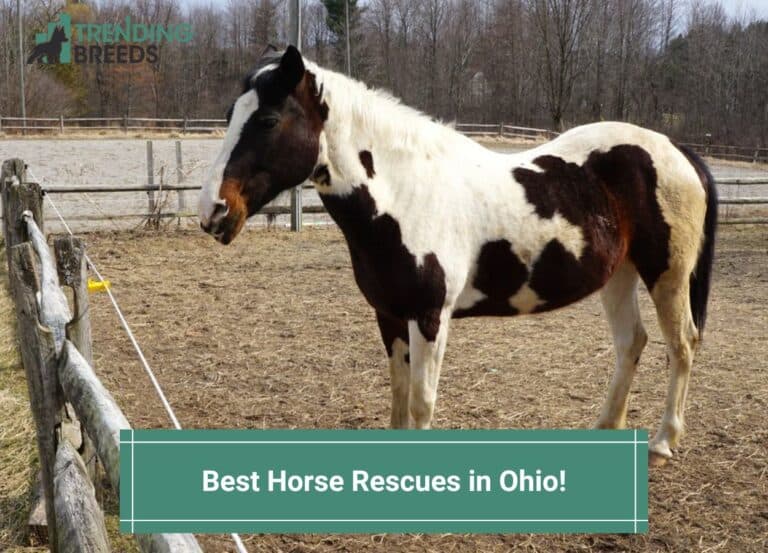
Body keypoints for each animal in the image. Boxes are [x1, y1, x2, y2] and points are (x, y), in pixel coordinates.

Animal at [198, 46, 717, 466]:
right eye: (229, 114)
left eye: (268, 120)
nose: (213, 211)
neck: (406, 194)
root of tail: (677, 150)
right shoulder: (390, 315)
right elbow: (398, 394)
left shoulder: (430, 317)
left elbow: (421, 400)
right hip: (619, 275)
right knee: (632, 343)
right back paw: (606, 428)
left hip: (667, 276)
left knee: (682, 345)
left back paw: (663, 441)